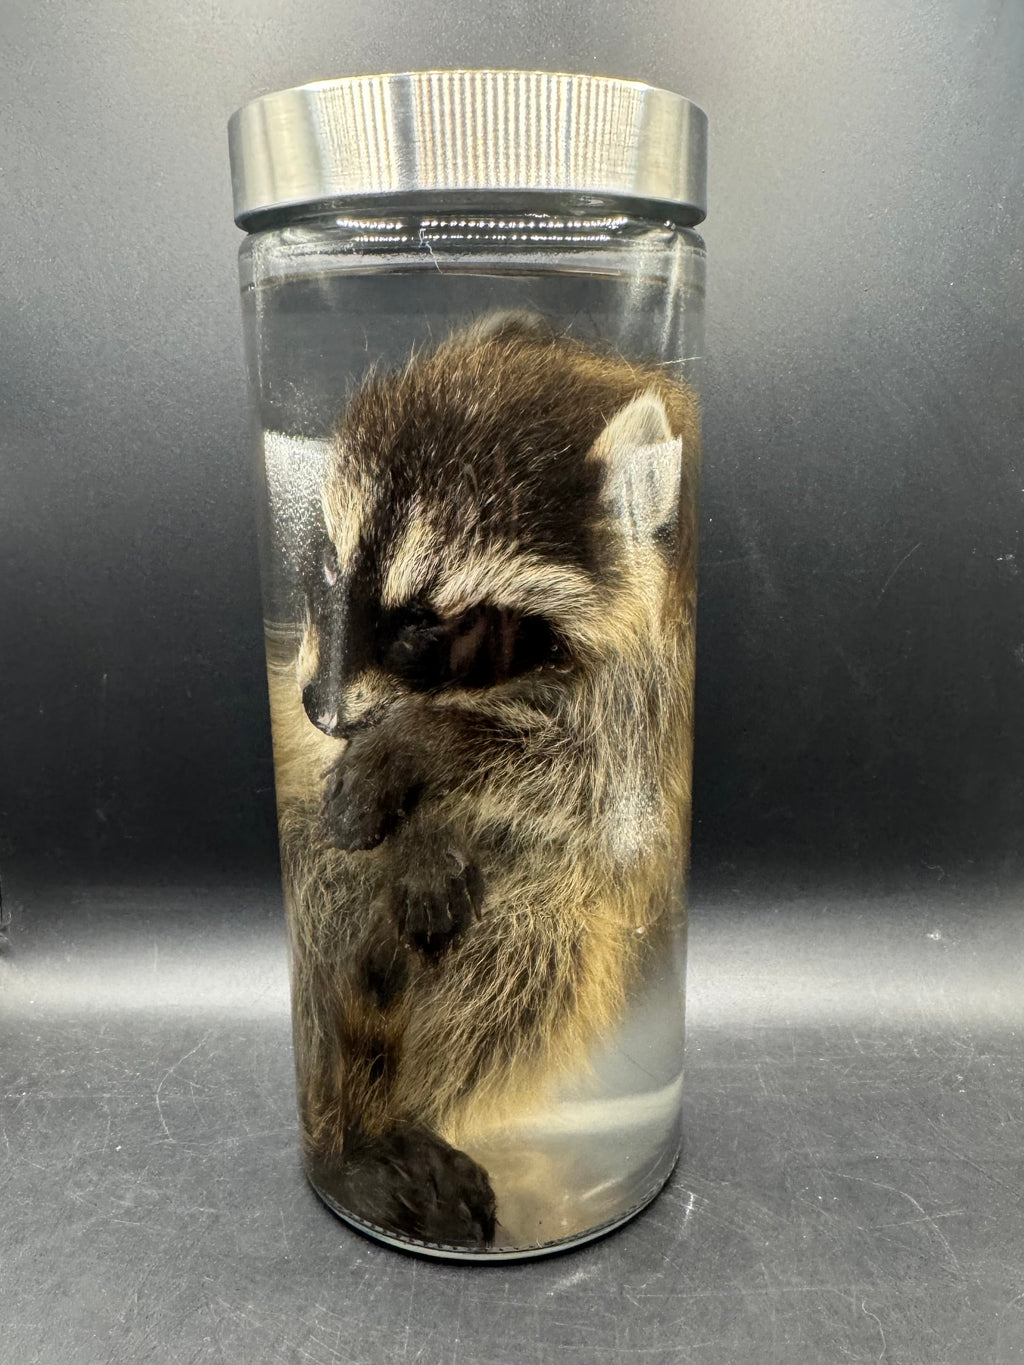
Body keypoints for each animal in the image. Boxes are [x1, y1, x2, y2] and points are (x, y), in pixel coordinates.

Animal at [265, 313, 699, 1249]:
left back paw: (370, 1125)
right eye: (328, 571)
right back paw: (345, 1122)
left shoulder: (653, 687)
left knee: (532, 946)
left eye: (420, 627)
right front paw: (415, 820)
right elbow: (311, 760)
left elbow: (596, 785)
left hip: (549, 921)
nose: (323, 708)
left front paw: (430, 753)